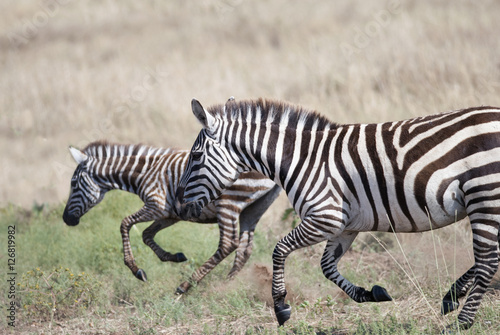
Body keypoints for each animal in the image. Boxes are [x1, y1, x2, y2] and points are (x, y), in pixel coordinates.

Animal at [61, 140, 282, 292]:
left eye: (73, 183)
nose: (66, 220)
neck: (144, 172)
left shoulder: (156, 206)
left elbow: (125, 224)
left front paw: (136, 270)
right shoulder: (170, 214)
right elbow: (146, 235)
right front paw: (174, 257)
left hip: (228, 203)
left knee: (229, 244)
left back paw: (187, 285)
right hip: (254, 208)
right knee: (245, 249)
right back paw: (227, 284)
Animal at [176, 98, 500, 332]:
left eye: (196, 156)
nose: (179, 201)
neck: (301, 160)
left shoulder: (325, 217)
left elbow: (280, 250)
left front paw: (281, 307)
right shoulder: (344, 226)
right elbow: (327, 266)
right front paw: (370, 294)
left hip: (484, 192)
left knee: (488, 262)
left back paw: (462, 322)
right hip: (488, 199)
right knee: (491, 259)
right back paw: (453, 297)